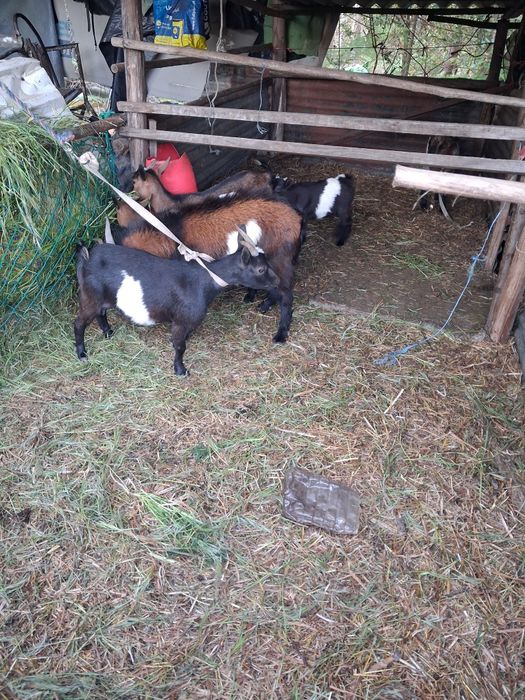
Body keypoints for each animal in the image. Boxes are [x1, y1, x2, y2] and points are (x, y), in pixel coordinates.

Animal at [74, 238, 279, 376]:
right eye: (261, 269)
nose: (277, 281)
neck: (203, 281)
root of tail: (87, 257)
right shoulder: (181, 321)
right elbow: (180, 346)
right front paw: (181, 370)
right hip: (89, 298)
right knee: (79, 323)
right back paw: (82, 354)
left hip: (100, 299)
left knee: (101, 313)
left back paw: (108, 333)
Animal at [111, 193, 303, 344]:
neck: (169, 234)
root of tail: (296, 216)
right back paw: (262, 304)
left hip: (279, 258)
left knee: (286, 294)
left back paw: (281, 334)